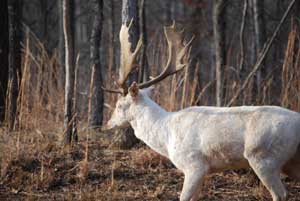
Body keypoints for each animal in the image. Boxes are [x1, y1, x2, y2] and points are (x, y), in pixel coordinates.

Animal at [103, 22, 300, 201]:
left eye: (119, 105)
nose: (107, 124)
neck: (165, 135)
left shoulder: (194, 165)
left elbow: (183, 197)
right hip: (290, 161)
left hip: (263, 156)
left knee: (281, 194)